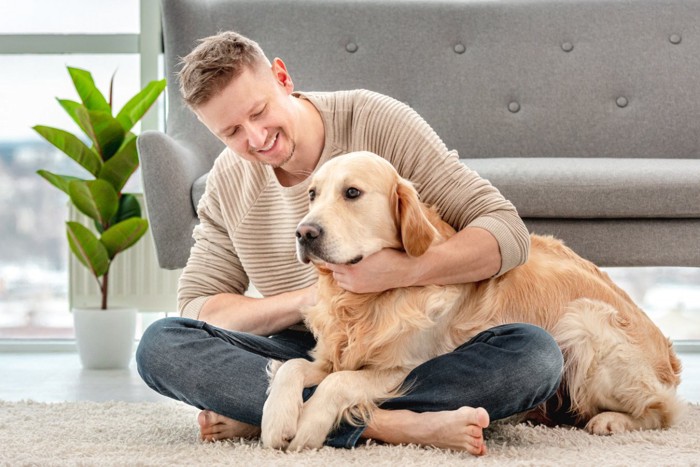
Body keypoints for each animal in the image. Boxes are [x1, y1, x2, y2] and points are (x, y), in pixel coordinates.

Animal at [260, 152, 680, 452]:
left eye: (352, 193)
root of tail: (668, 356)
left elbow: (340, 382)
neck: (366, 302)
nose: (304, 233)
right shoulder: (331, 357)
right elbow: (293, 367)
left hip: (583, 322)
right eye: (312, 194)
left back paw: (612, 421)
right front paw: (277, 419)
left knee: (663, 411)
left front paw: (309, 425)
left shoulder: (403, 367)